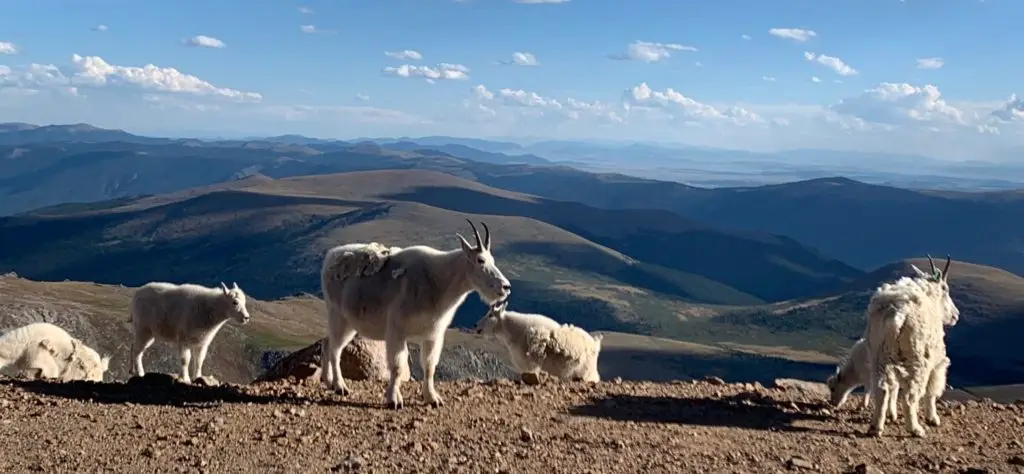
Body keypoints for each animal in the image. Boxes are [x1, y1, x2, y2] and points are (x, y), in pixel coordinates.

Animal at [473, 303, 602, 384]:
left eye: (490, 315)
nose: (476, 326)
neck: (515, 332)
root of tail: (595, 346)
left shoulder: (529, 365)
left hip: (585, 372)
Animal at [864, 255, 958, 438]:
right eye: (946, 289)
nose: (955, 315)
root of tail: (896, 314)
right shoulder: (936, 360)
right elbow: (932, 390)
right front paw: (933, 418)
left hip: (879, 355)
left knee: (882, 390)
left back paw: (876, 427)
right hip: (917, 359)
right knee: (909, 396)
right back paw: (915, 429)